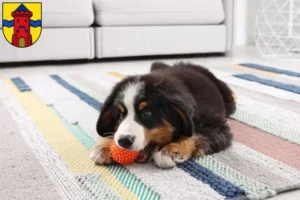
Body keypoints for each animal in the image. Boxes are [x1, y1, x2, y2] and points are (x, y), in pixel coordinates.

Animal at [90, 61, 236, 168]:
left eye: (147, 113)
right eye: (120, 115)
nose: (123, 141)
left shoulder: (218, 128)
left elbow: (195, 134)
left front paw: (171, 151)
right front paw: (103, 147)